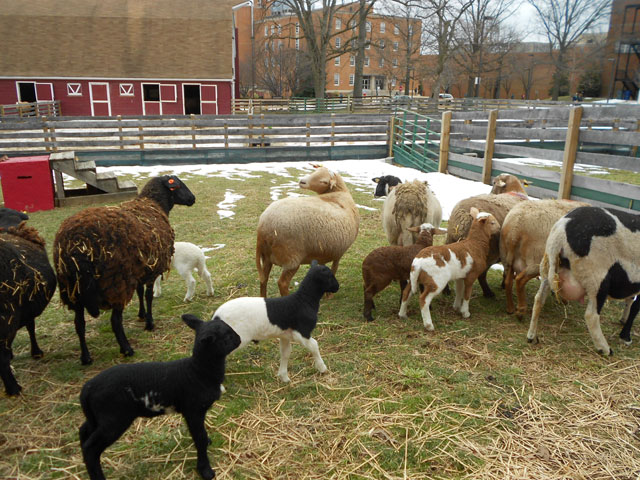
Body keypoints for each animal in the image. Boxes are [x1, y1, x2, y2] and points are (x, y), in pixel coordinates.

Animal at [53, 174, 195, 366]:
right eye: (178, 185)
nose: (192, 199)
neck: (154, 203)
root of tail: (77, 245)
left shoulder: (140, 269)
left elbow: (140, 293)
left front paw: (141, 315)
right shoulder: (152, 270)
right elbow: (148, 296)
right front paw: (149, 322)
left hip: (72, 289)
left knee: (79, 324)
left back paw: (86, 357)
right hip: (116, 284)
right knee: (114, 320)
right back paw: (127, 349)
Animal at [79, 314, 240, 478]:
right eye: (227, 336)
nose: (239, 339)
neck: (197, 371)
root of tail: (87, 388)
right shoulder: (193, 410)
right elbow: (199, 437)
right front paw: (205, 470)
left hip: (98, 417)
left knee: (83, 432)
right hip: (113, 419)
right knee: (90, 448)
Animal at [211, 260, 340, 384]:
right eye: (330, 276)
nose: (337, 287)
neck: (303, 300)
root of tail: (216, 316)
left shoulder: (285, 335)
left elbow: (286, 352)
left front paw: (284, 377)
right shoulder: (302, 332)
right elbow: (314, 345)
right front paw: (322, 368)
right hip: (234, 339)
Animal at [254, 167, 358, 298]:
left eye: (324, 181)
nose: (302, 181)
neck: (339, 194)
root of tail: (263, 227)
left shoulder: (325, 253)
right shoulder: (337, 254)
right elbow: (334, 269)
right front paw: (329, 295)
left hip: (267, 256)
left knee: (263, 279)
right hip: (291, 258)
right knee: (282, 283)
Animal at [528, 206, 636, 356]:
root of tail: (561, 232)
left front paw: (623, 322)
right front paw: (626, 337)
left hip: (548, 267)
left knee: (539, 299)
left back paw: (531, 336)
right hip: (597, 278)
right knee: (591, 315)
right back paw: (605, 349)